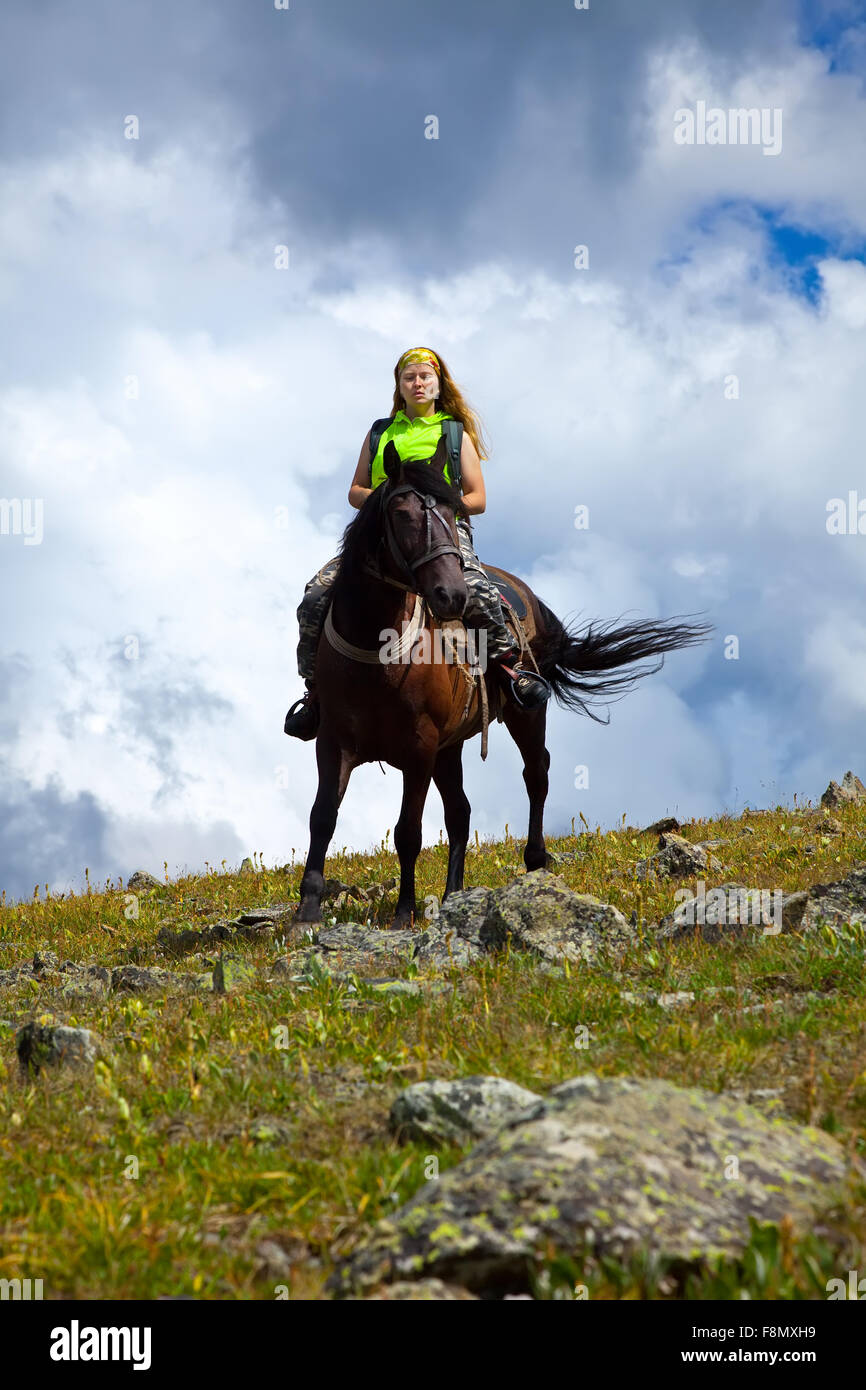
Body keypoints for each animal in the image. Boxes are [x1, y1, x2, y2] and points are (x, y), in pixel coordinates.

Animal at [292, 435, 711, 929]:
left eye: (453, 513)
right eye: (401, 513)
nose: (452, 595)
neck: (377, 655)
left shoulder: (418, 748)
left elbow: (408, 831)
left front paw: (403, 915)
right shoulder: (334, 741)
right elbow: (323, 818)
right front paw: (307, 912)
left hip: (522, 715)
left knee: (536, 774)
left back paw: (535, 862)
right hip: (450, 746)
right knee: (460, 810)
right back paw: (453, 895)